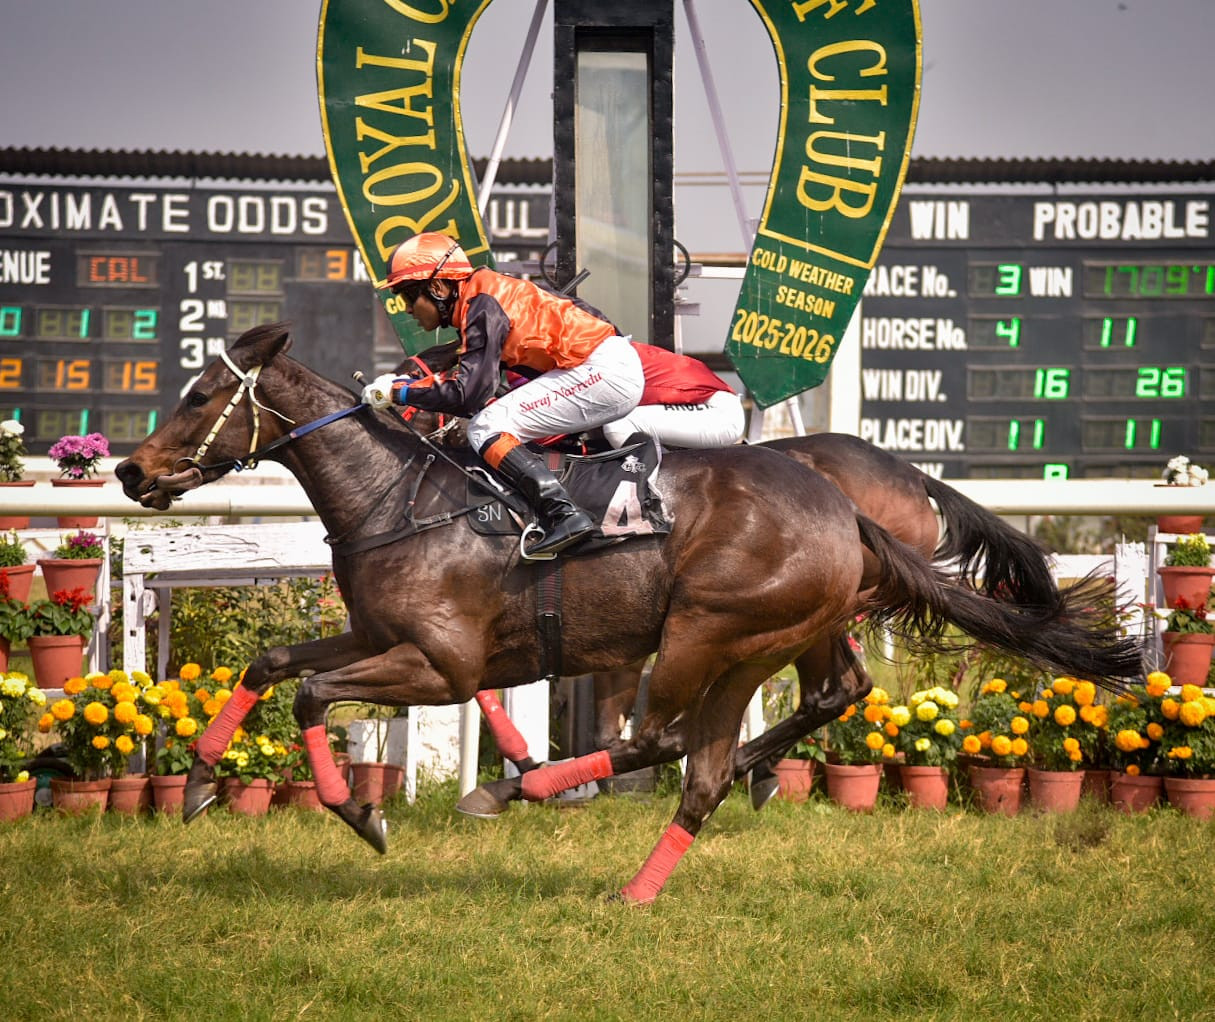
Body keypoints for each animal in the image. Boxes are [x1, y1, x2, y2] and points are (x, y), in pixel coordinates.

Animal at [116, 323, 1142, 903]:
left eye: (201, 396)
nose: (128, 469)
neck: (400, 497)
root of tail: (850, 503)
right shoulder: (377, 638)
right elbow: (270, 664)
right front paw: (199, 781)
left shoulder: (439, 667)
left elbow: (312, 695)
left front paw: (362, 816)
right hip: (763, 641)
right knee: (731, 749)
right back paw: (641, 875)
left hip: (706, 632)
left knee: (664, 739)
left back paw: (518, 791)